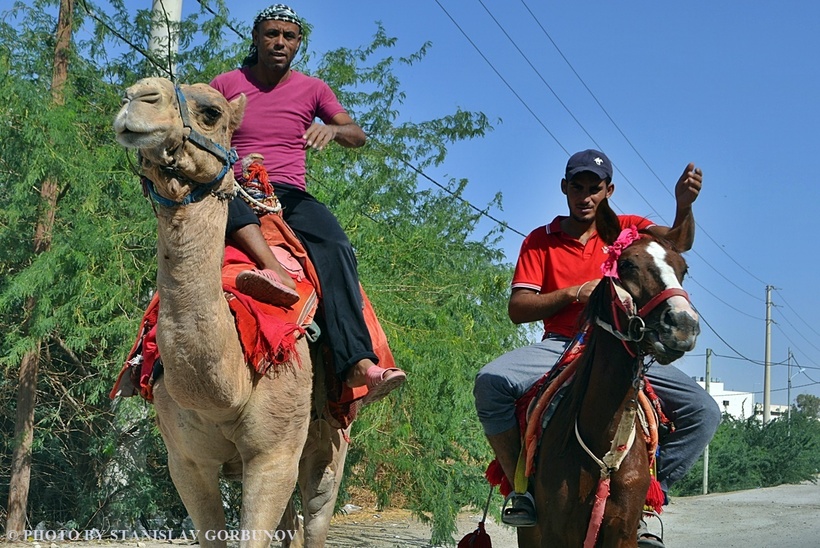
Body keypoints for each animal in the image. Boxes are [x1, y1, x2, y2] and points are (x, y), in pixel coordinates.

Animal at [111, 77, 346, 548]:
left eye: (211, 112)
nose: (137, 98)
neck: (231, 384)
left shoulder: (274, 457)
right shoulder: (184, 461)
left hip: (331, 443)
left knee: (316, 511)